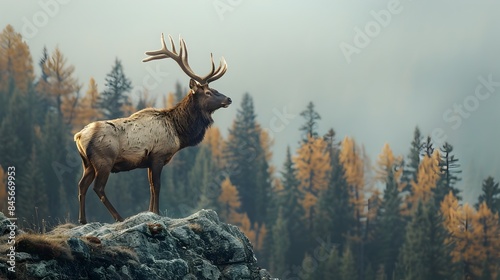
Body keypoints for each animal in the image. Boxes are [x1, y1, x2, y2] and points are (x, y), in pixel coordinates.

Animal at [74, 33, 230, 225]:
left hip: (87, 163)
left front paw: (150, 212)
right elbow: (157, 186)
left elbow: (150, 186)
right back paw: (119, 217)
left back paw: (82, 220)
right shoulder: (158, 156)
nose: (228, 99)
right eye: (208, 92)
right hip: (104, 160)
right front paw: (157, 212)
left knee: (81, 185)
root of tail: (78, 136)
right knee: (98, 188)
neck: (178, 132)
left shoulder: (148, 161)